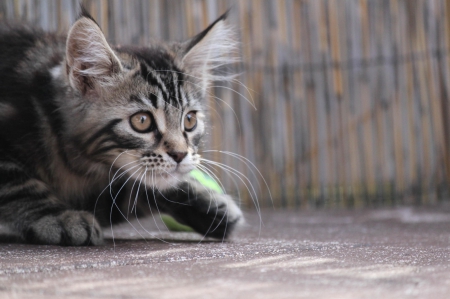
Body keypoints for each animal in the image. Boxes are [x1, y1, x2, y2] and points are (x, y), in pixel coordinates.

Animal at [0, 9, 243, 246]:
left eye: (190, 120)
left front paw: (207, 203)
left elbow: (134, 190)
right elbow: (18, 185)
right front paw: (60, 217)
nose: (180, 155)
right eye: (142, 121)